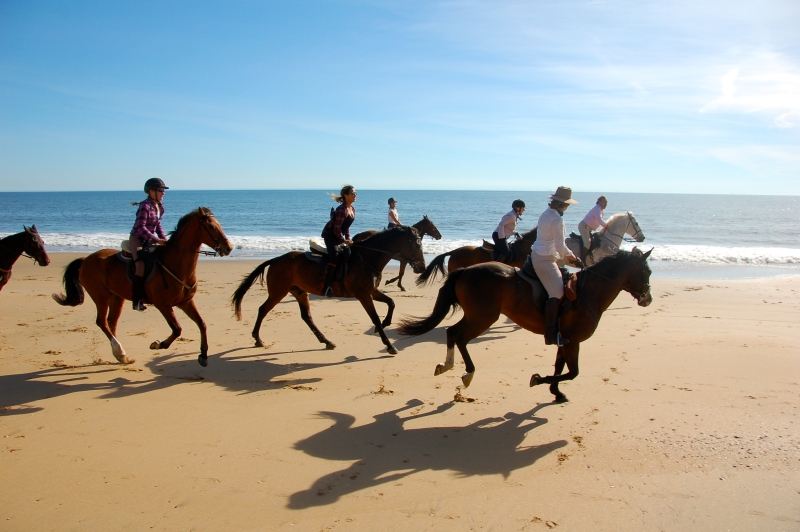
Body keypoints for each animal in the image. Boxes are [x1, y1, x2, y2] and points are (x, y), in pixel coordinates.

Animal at [53, 208, 231, 366]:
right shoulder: (163, 304)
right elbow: (177, 329)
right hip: (100, 295)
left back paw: (120, 355)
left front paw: (203, 355)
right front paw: (158, 344)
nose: (228, 247)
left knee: (111, 323)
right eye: (211, 227)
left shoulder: (185, 302)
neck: (175, 263)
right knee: (102, 322)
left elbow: (202, 324)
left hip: (116, 297)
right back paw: (120, 351)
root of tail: (85, 259)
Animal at [233, 227, 424, 356]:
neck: (366, 259)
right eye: (417, 244)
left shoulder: (372, 291)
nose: (422, 267)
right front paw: (389, 344)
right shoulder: (363, 295)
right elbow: (375, 317)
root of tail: (275, 260)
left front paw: (383, 325)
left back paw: (326, 341)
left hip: (299, 292)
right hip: (278, 291)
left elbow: (391, 303)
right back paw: (257, 338)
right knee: (263, 310)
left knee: (306, 317)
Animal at [396, 247, 652, 402]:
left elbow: (560, 368)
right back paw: (467, 373)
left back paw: (448, 365)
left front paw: (556, 392)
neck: (588, 292)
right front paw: (539, 380)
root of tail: (465, 270)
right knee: (459, 336)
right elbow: (572, 373)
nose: (648, 299)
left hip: (476, 315)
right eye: (647, 271)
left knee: (452, 332)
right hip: (483, 317)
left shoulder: (563, 340)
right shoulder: (574, 341)